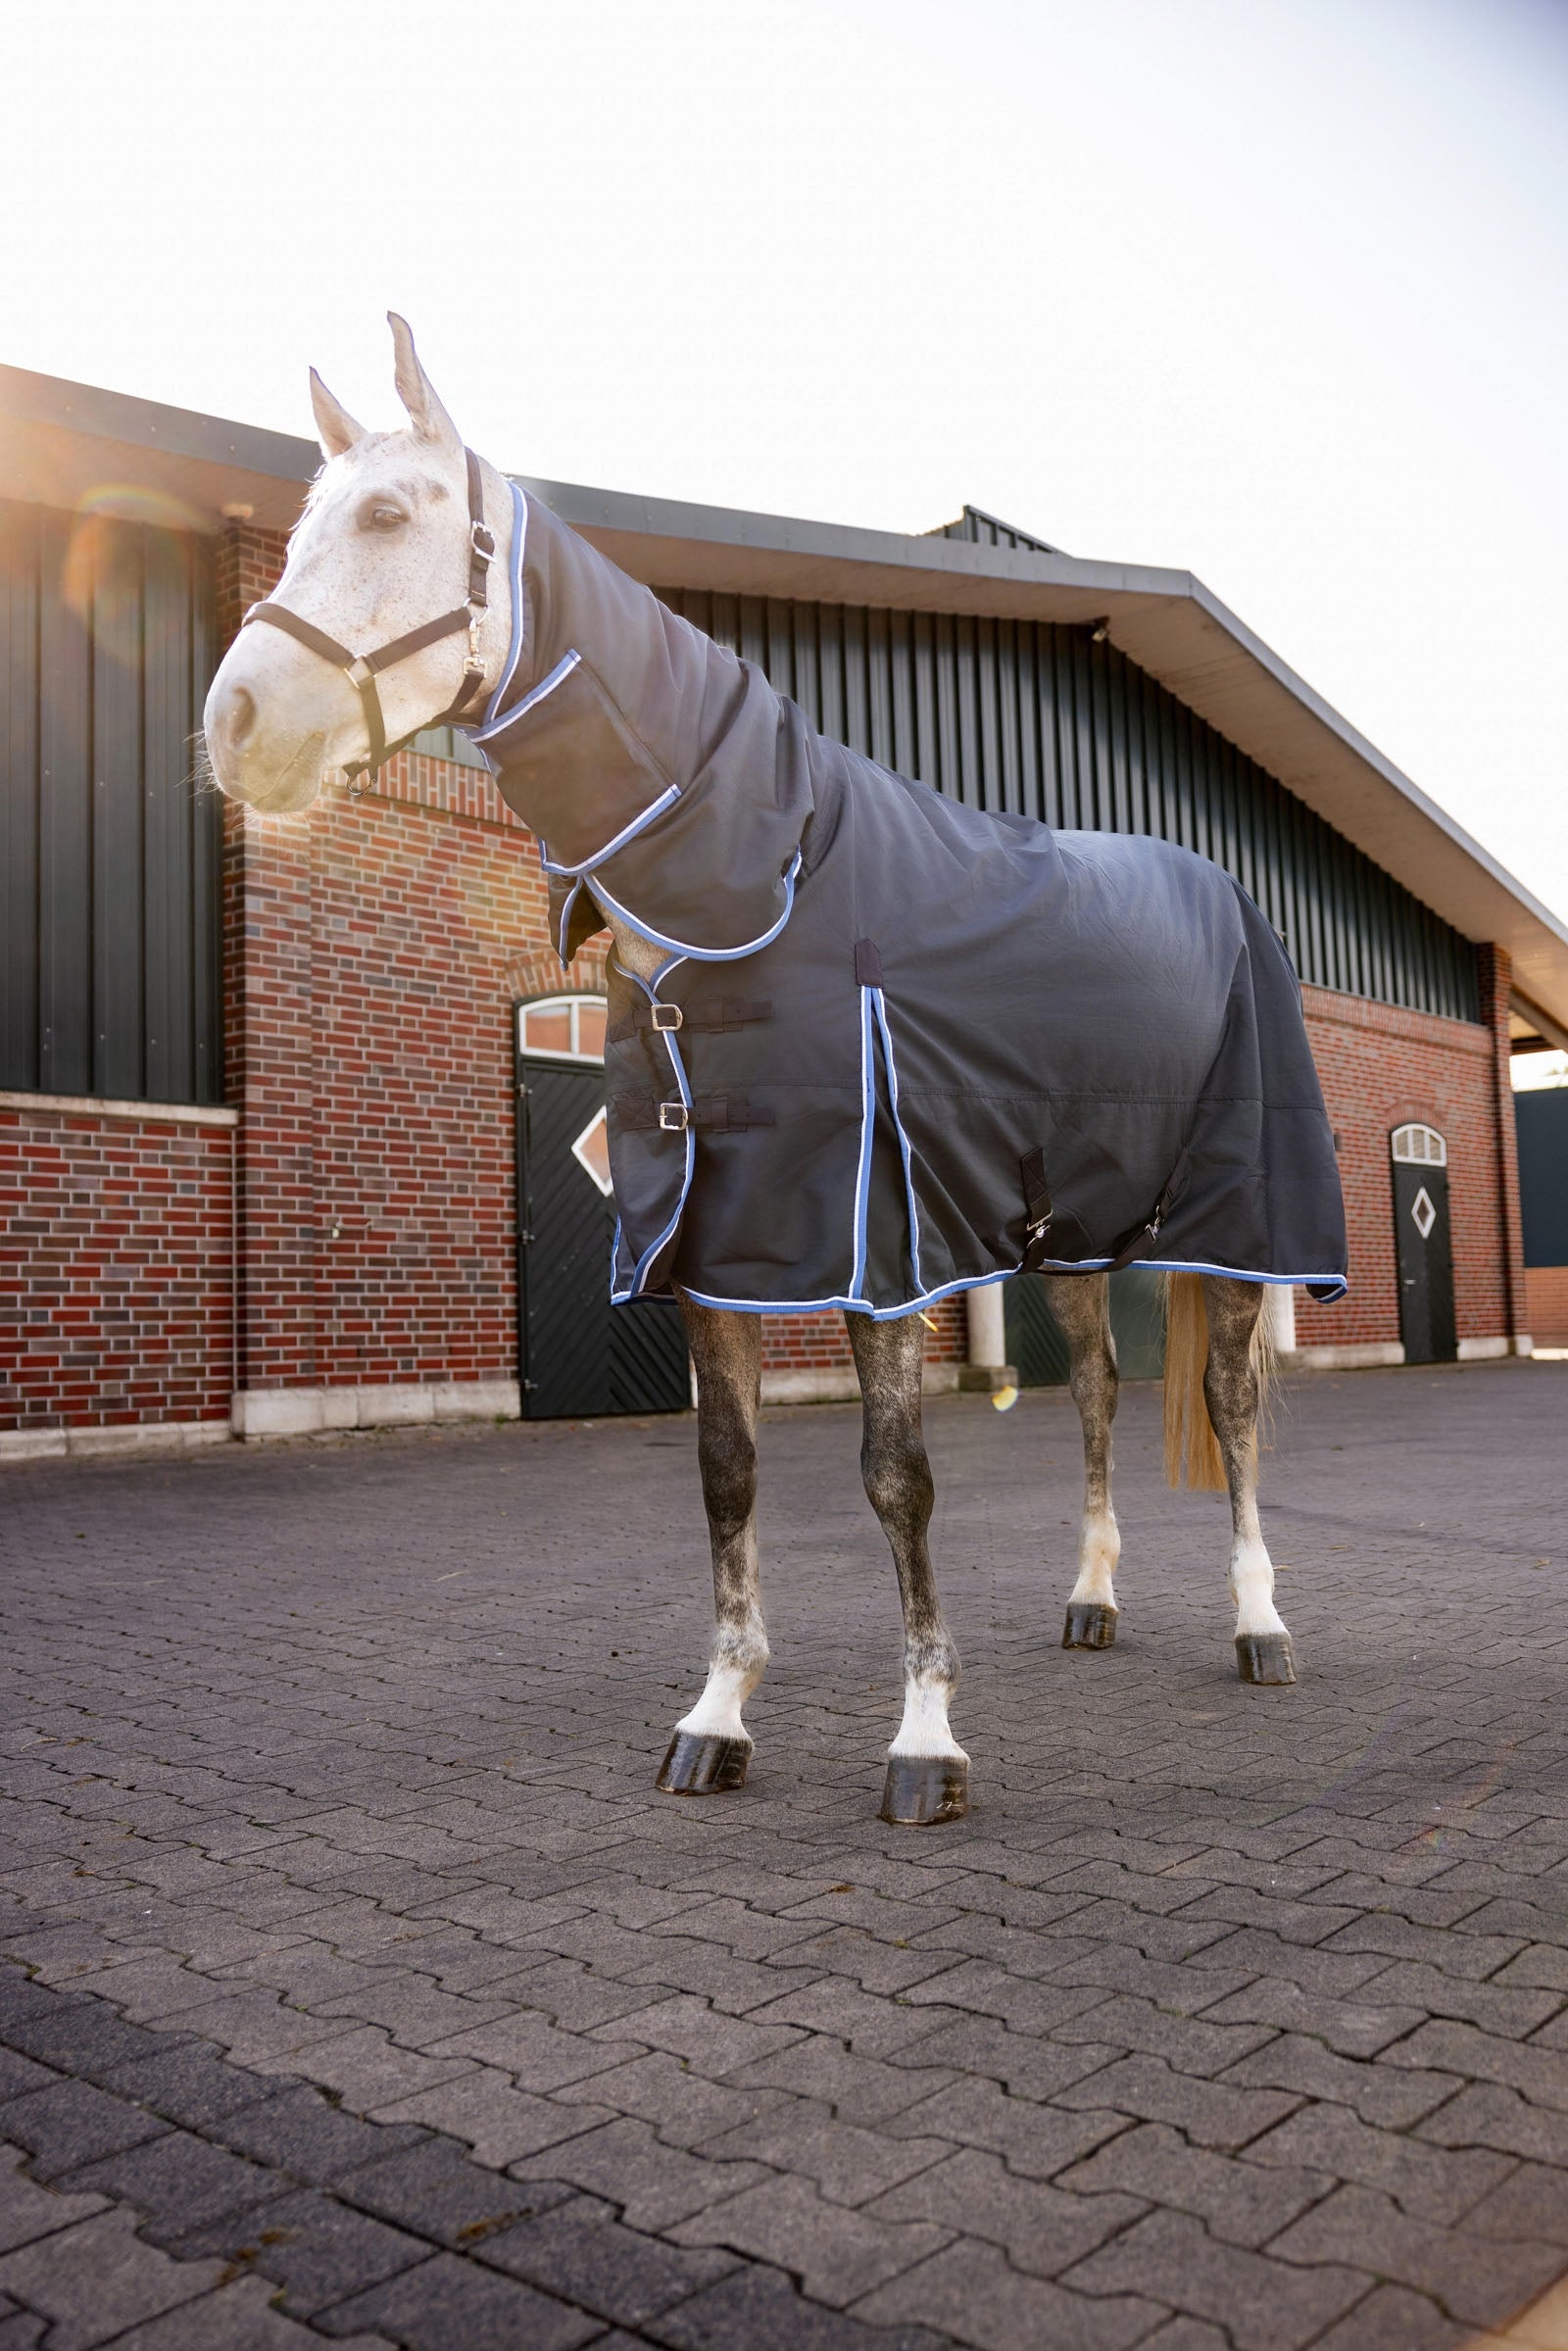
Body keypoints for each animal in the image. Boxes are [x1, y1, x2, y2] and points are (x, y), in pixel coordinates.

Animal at [205, 316, 1331, 1829]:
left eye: (388, 514)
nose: (237, 724)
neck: (761, 879)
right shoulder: (708, 1242)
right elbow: (727, 1476)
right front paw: (717, 1714)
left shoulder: (874, 1244)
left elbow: (896, 1479)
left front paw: (925, 1739)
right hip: (1076, 1235)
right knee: (1097, 1387)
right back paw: (1092, 1598)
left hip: (1236, 1219)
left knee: (1229, 1405)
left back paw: (1259, 1622)